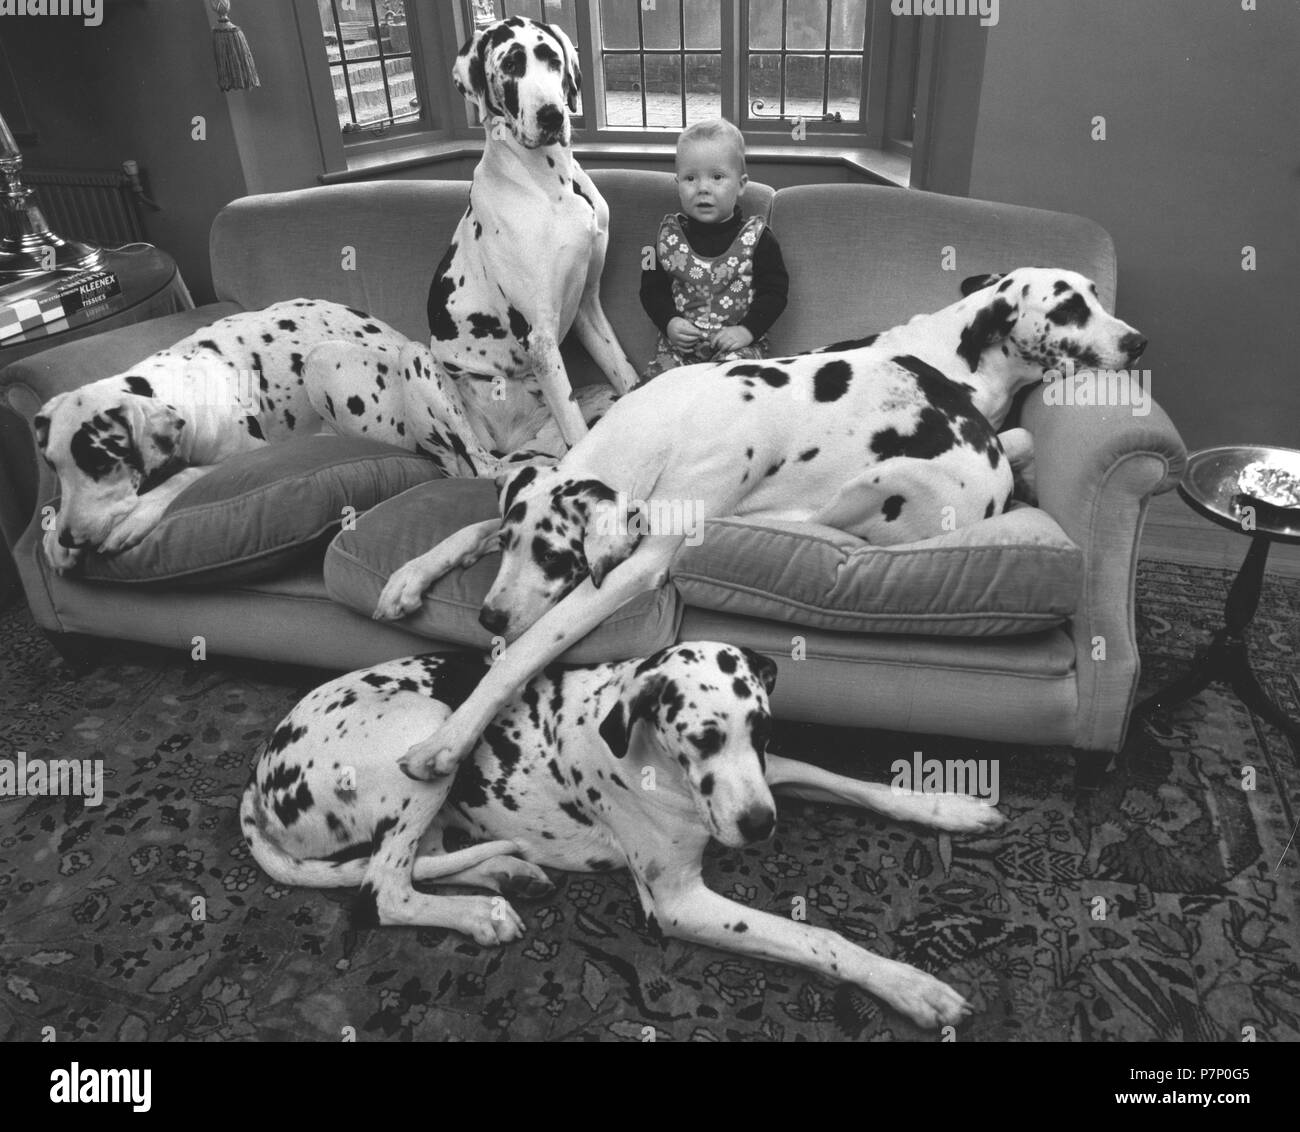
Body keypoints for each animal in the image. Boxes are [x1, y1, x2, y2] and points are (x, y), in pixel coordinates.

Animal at [239, 642, 998, 1029]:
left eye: (761, 727)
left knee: (421, 861)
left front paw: (948, 807)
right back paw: (481, 913)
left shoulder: (768, 772)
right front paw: (910, 986)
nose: (760, 828)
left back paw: (507, 874)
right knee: (384, 888)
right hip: (425, 737)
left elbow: (853, 782)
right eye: (703, 736)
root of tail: (259, 779)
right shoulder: (680, 903)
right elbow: (819, 937)